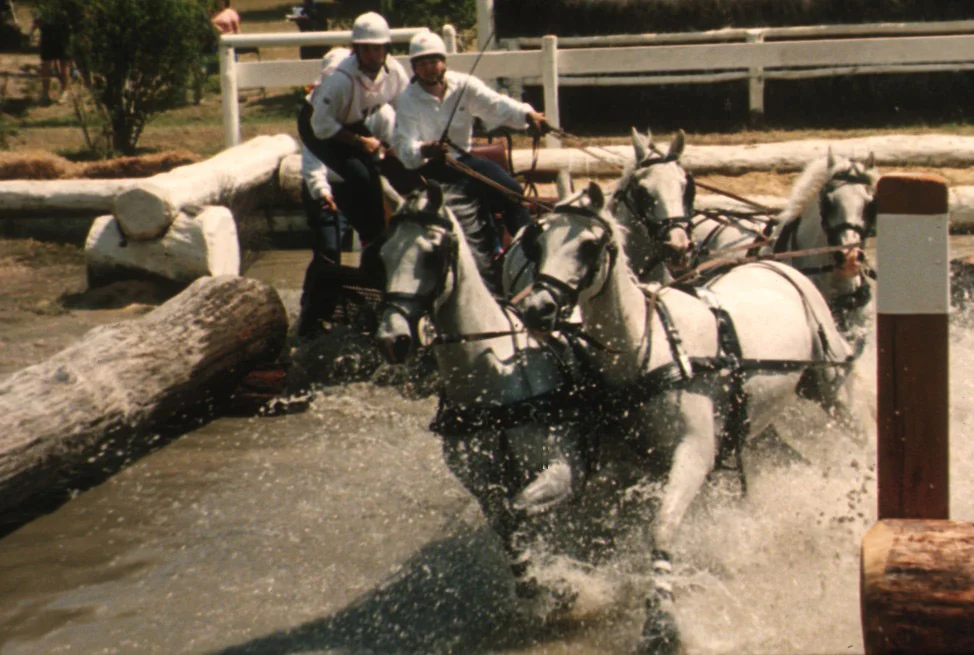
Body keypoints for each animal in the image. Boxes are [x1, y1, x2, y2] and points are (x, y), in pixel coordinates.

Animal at [370, 181, 598, 612]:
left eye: (431, 254)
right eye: (383, 253)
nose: (393, 340)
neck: (493, 381)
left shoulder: (562, 469)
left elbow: (521, 510)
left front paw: (561, 579)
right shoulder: (481, 483)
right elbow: (506, 523)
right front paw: (536, 582)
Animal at [512, 182, 862, 654]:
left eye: (589, 245)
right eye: (537, 241)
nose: (536, 308)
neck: (647, 346)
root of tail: (774, 264)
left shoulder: (694, 451)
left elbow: (662, 527)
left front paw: (661, 621)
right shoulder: (629, 463)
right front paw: (556, 584)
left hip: (833, 386)